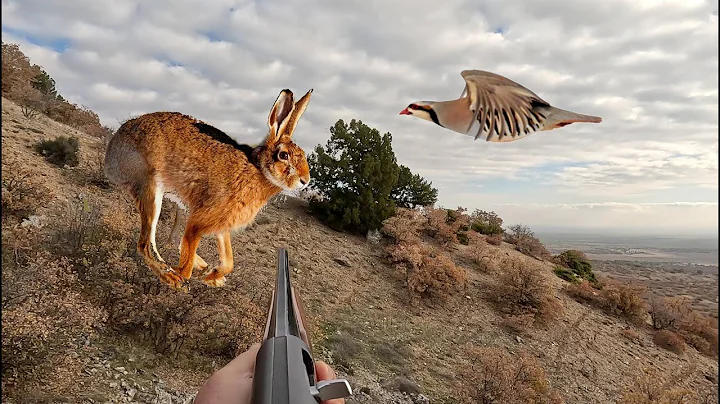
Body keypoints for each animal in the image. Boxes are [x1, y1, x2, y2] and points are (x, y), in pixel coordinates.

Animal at [104, 88, 313, 290]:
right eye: (283, 155)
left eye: (303, 156)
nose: (305, 181)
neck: (258, 169)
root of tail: (110, 155)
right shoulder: (201, 220)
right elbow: (188, 252)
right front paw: (185, 278)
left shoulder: (222, 225)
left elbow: (229, 262)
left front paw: (211, 276)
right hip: (150, 188)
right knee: (145, 243)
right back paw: (172, 278)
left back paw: (203, 268)